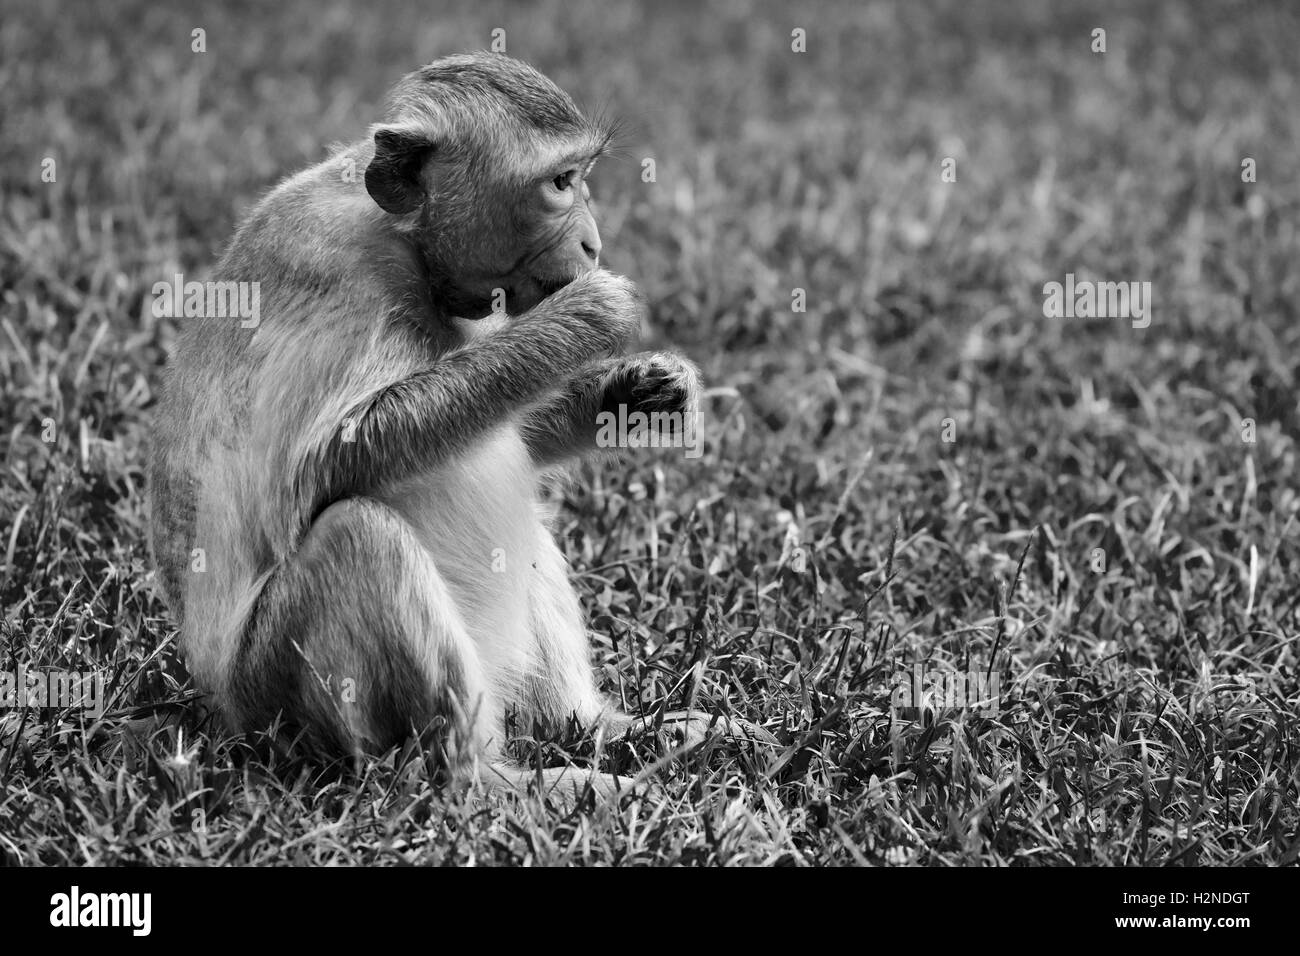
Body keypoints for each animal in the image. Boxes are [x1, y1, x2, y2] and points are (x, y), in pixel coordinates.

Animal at [148, 50, 769, 801]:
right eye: (561, 183)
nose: (594, 242)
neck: (409, 242)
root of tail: (224, 716)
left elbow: (509, 432)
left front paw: (644, 388)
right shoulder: (340, 270)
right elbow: (328, 460)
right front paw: (585, 318)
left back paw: (603, 729)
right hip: (275, 701)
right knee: (360, 538)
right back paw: (497, 787)